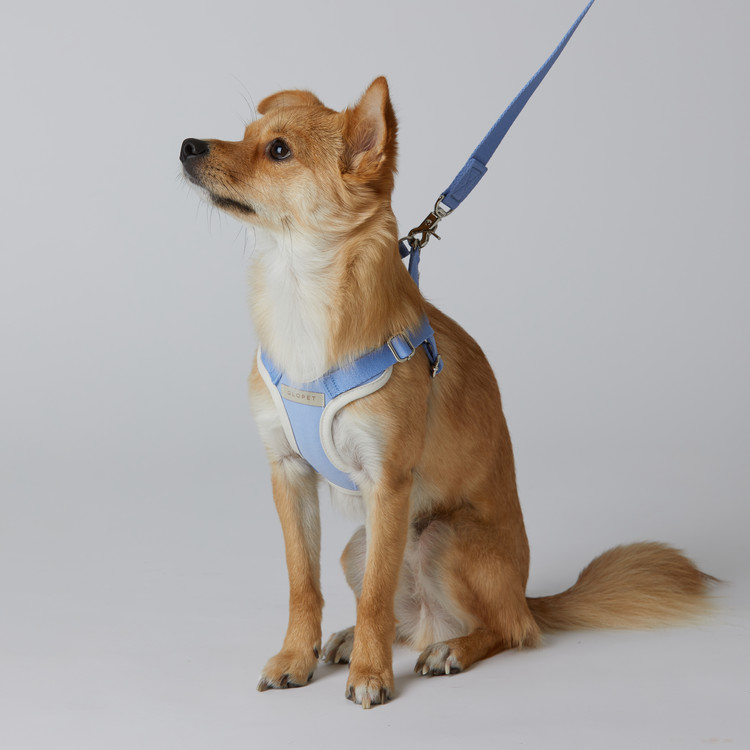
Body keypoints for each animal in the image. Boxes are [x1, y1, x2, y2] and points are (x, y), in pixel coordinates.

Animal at [180, 77, 714, 708]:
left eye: (279, 151)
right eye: (244, 135)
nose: (187, 145)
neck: (299, 288)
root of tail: (526, 595)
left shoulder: (387, 482)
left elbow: (375, 594)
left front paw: (372, 676)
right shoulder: (288, 472)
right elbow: (301, 582)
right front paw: (296, 657)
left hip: (442, 537)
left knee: (507, 630)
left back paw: (450, 649)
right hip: (357, 545)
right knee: (404, 617)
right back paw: (356, 638)